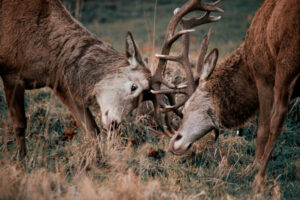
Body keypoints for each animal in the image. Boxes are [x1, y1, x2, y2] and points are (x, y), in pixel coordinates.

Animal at [149, 0, 298, 189]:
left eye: (187, 107)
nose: (174, 143)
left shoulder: (264, 75)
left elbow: (263, 126)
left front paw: (254, 166)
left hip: (288, 58)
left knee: (278, 116)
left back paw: (258, 177)